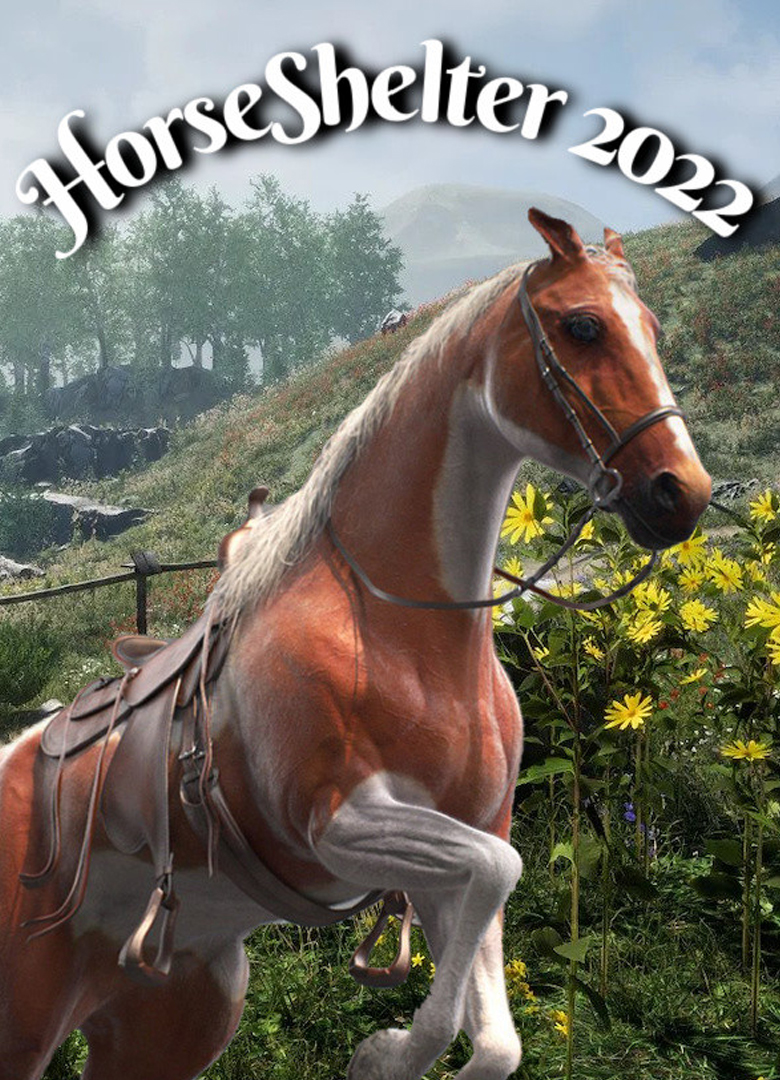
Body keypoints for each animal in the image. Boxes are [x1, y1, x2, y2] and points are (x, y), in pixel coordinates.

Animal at [0, 209, 711, 1080]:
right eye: (582, 326)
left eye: (651, 328)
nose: (681, 493)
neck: (402, 633)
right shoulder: (336, 824)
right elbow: (498, 875)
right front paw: (387, 1051)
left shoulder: (463, 848)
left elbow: (496, 1031)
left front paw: (392, 1050)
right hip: (25, 1020)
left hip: (171, 1022)